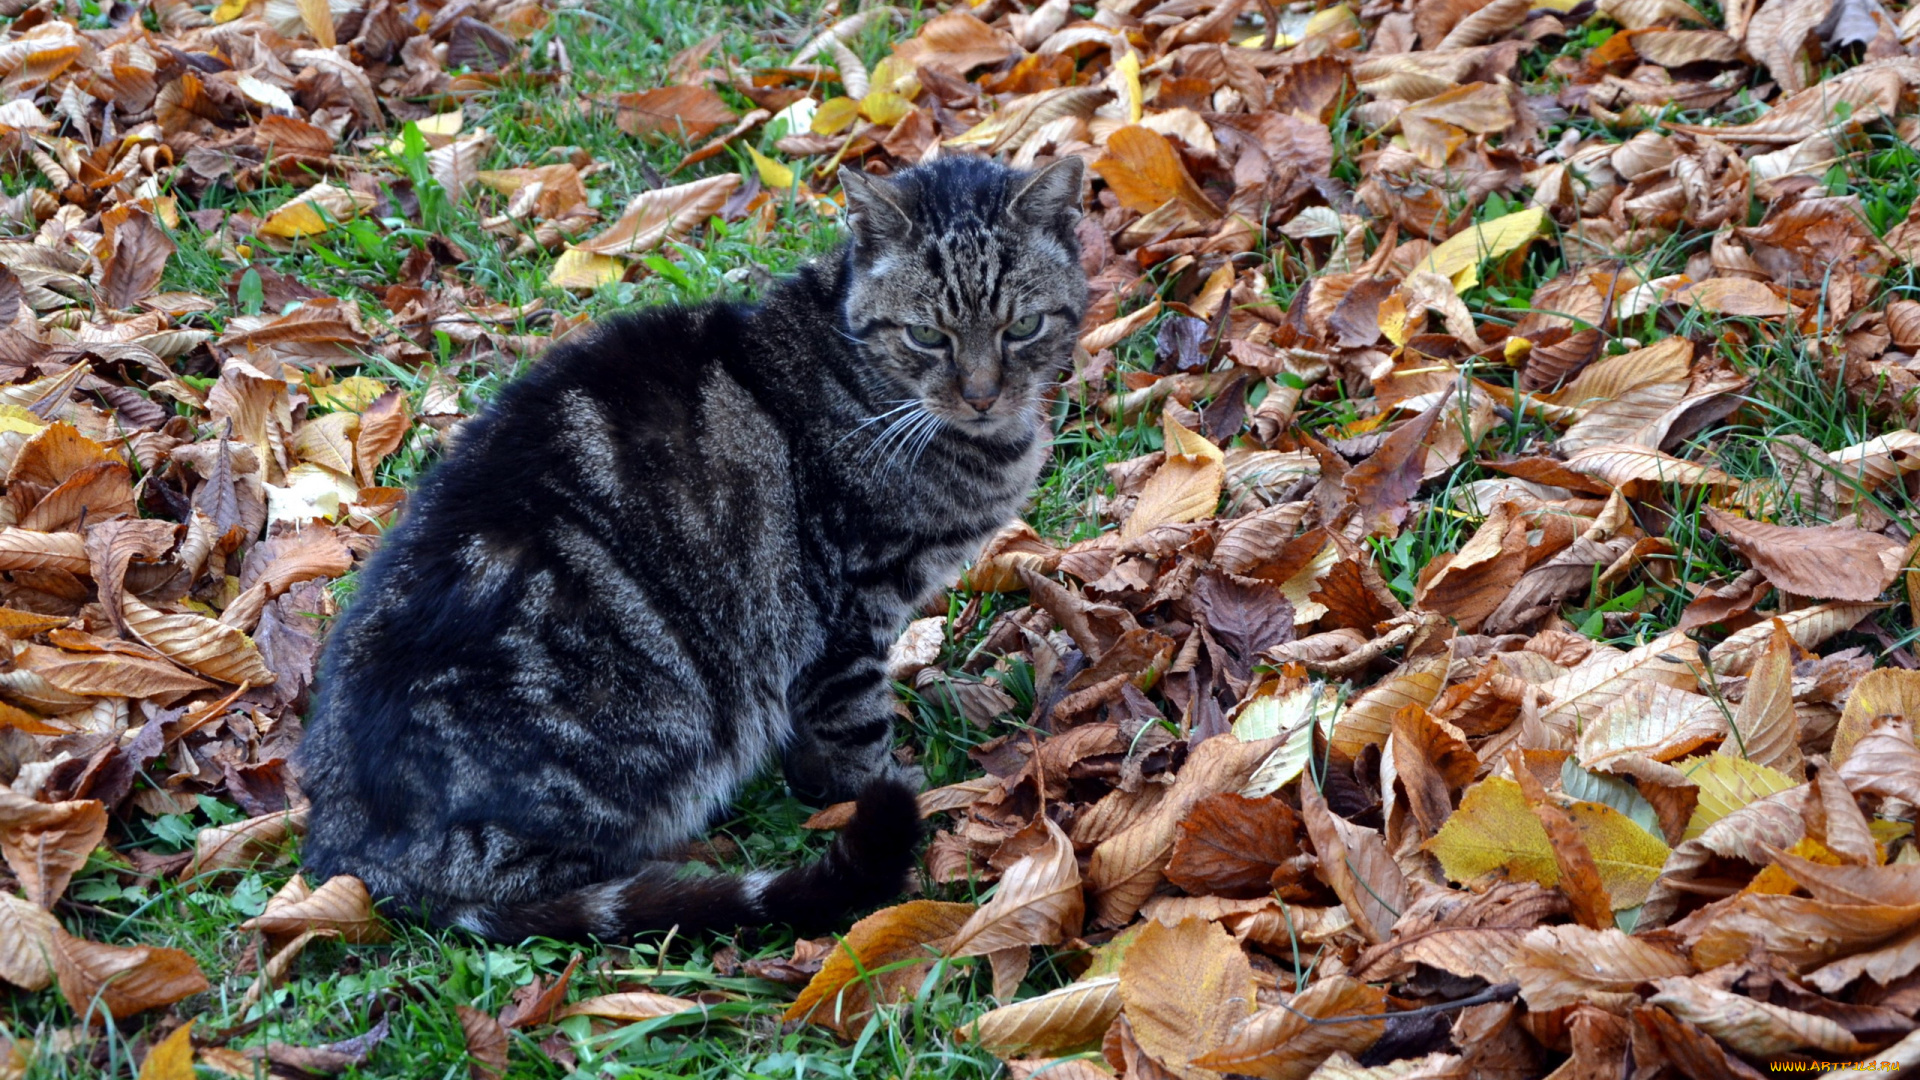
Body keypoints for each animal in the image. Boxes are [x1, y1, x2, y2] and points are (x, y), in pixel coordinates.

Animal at [293, 155, 1090, 937]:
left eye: (1022, 326)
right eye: (927, 336)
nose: (983, 395)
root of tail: (353, 852)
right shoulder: (845, 612)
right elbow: (858, 738)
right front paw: (882, 793)